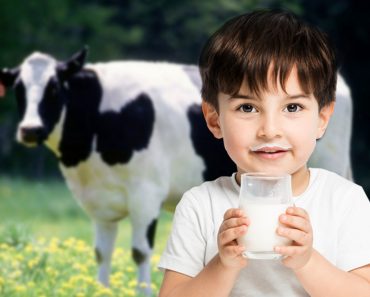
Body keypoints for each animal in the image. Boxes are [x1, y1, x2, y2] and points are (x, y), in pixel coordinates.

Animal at [0, 47, 352, 292]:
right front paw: (100, 290)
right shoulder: (100, 201)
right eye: (18, 89)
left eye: (54, 88)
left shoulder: (145, 192)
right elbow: (102, 252)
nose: (29, 129)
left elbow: (140, 252)